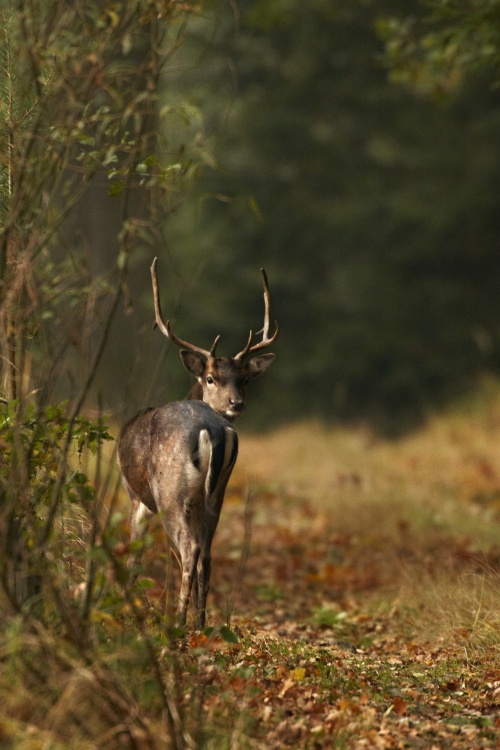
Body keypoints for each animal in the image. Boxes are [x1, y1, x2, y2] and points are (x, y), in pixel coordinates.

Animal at [119, 260, 280, 628]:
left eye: (244, 379)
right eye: (211, 378)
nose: (237, 403)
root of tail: (212, 429)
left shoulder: (137, 497)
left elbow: (136, 555)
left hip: (171, 491)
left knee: (189, 550)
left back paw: (178, 621)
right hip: (216, 493)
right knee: (206, 552)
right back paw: (200, 622)